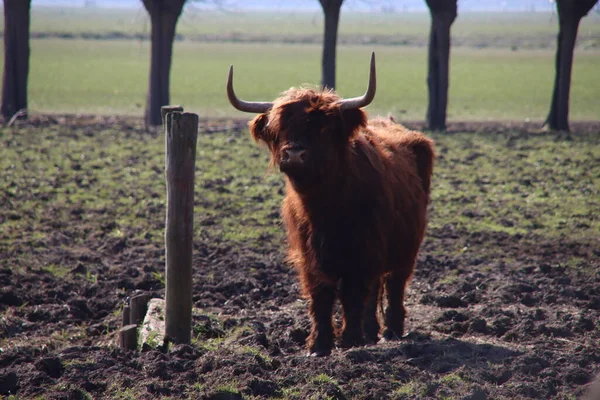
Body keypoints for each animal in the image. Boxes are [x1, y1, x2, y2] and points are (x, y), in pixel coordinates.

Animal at [227, 54, 434, 356]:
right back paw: (370, 332)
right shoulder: (309, 255)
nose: (294, 154)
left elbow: (352, 294)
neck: (324, 207)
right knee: (375, 290)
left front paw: (350, 340)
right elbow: (320, 296)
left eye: (322, 128)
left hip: (407, 245)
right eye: (280, 128)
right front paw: (320, 344)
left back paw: (391, 331)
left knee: (395, 284)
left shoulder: (363, 251)